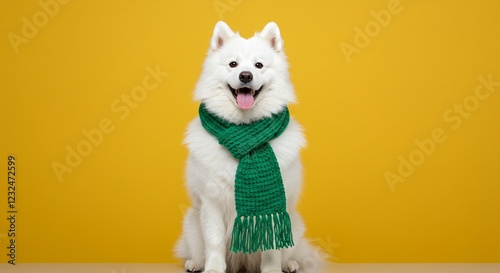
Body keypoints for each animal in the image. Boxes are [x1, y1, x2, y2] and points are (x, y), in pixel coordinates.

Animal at [176, 21, 322, 272]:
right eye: (233, 64)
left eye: (258, 65)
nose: (245, 75)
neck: (245, 129)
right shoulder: (211, 202)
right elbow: (214, 241)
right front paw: (213, 268)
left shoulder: (274, 211)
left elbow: (272, 248)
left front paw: (272, 270)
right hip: (192, 223)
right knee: (197, 250)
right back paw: (195, 263)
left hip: (295, 224)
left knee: (291, 251)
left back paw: (289, 264)